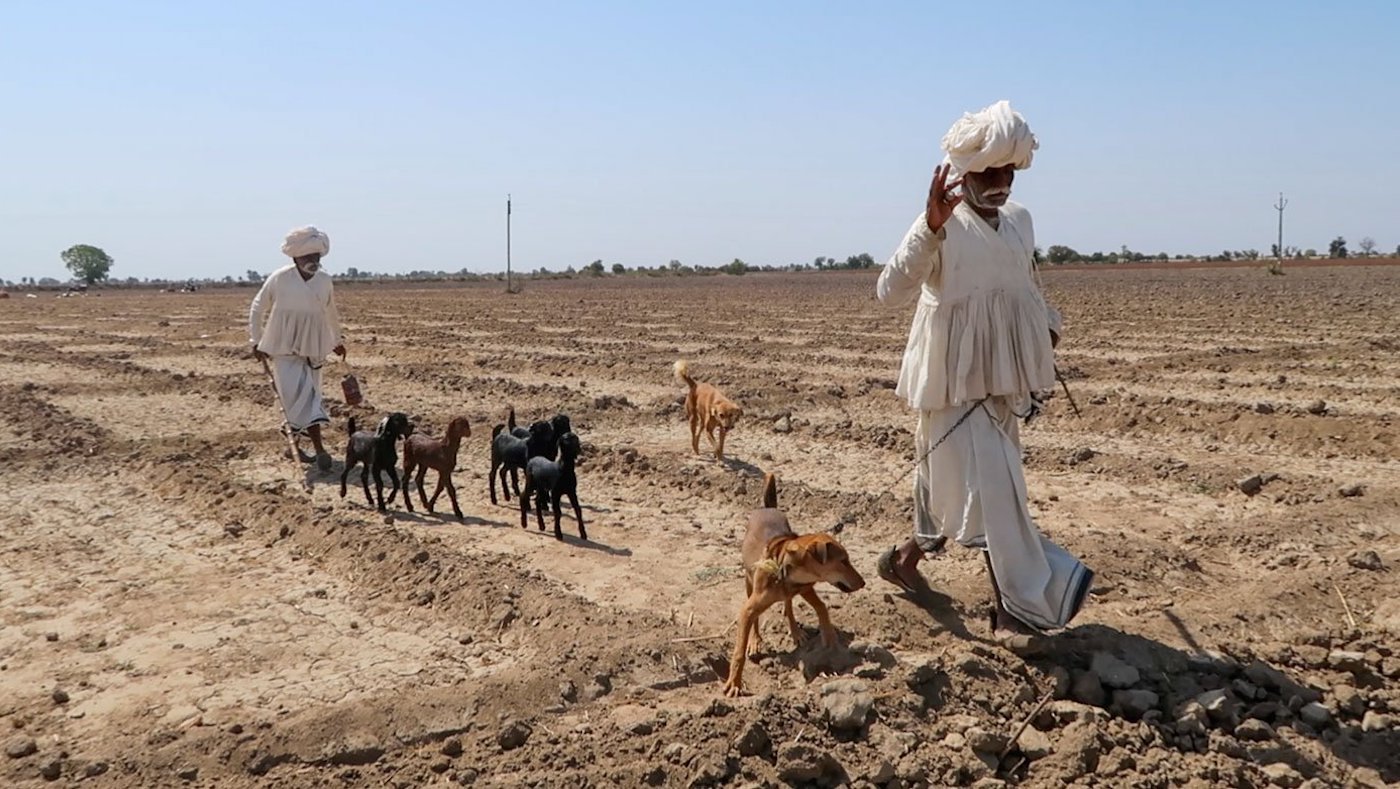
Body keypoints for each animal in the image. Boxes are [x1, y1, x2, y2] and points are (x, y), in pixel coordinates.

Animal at [722, 472, 862, 693]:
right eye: (843, 561)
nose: (863, 582)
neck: (787, 571)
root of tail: (767, 507)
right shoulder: (749, 607)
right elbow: (739, 651)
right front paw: (735, 682)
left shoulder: (806, 587)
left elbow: (822, 607)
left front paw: (829, 635)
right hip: (748, 582)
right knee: (757, 617)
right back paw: (755, 640)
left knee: (788, 604)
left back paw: (795, 631)